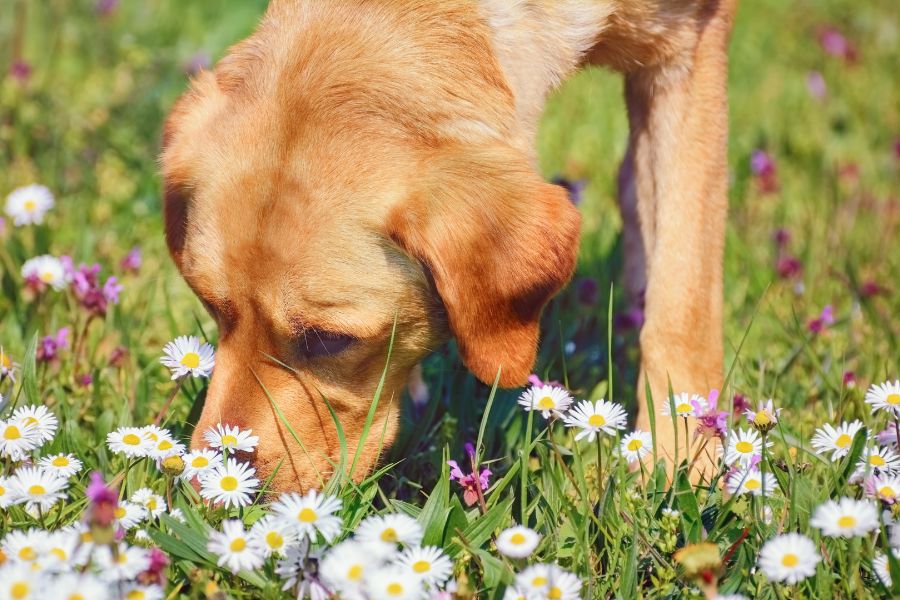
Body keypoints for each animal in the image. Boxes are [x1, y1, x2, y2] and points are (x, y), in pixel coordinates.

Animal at [162, 1, 736, 492]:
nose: (205, 491)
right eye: (210, 305)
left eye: (328, 340)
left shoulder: (689, 49)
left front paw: (682, 460)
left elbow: (682, 306)